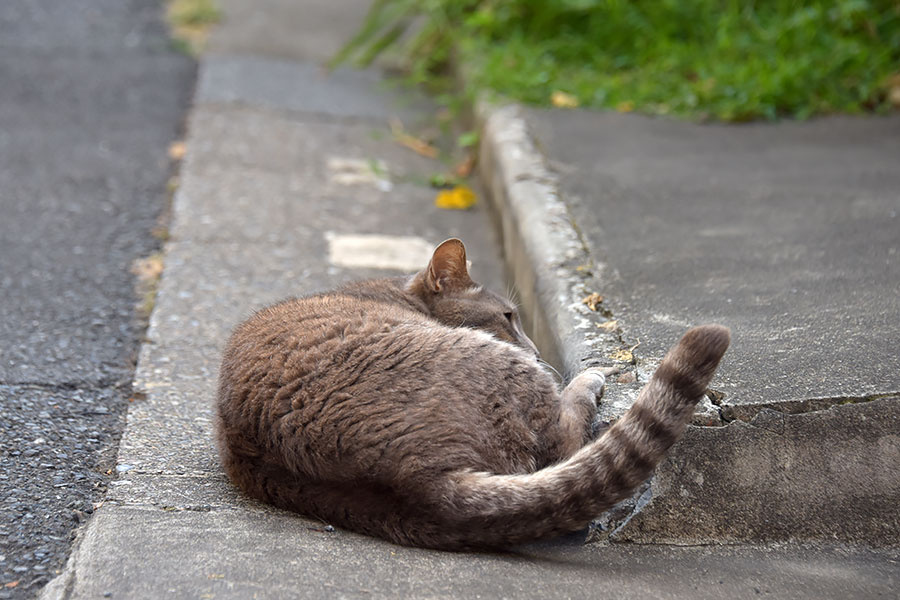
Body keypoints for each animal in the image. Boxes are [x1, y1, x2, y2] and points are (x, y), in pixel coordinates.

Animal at [214, 237, 728, 552]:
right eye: (508, 317)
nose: (536, 349)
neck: (392, 294)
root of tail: (422, 481)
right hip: (511, 379)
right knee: (564, 442)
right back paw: (591, 377)